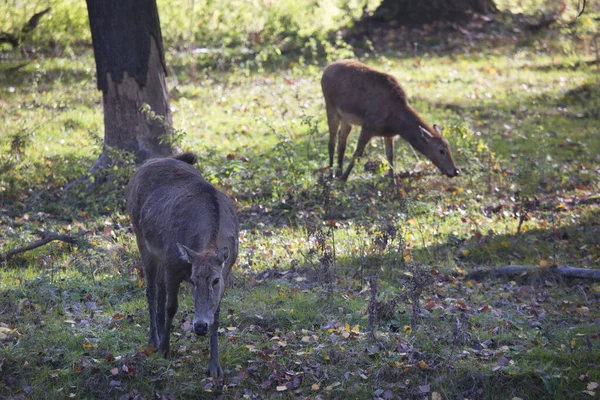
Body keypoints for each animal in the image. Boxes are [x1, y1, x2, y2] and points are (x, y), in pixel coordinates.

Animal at [125, 152, 238, 376]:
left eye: (215, 280)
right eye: (193, 281)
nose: (200, 327)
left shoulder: (227, 271)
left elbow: (217, 316)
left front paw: (215, 367)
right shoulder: (173, 264)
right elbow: (172, 307)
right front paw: (165, 350)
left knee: (159, 290)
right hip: (141, 237)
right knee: (151, 290)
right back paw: (154, 341)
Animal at [324, 59, 460, 181]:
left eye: (449, 146)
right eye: (441, 150)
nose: (455, 171)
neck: (395, 123)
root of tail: (326, 69)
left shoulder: (388, 134)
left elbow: (390, 156)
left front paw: (392, 182)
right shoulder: (368, 126)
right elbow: (358, 153)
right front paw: (344, 179)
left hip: (346, 119)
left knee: (342, 142)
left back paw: (338, 172)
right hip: (330, 107)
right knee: (331, 142)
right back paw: (331, 175)